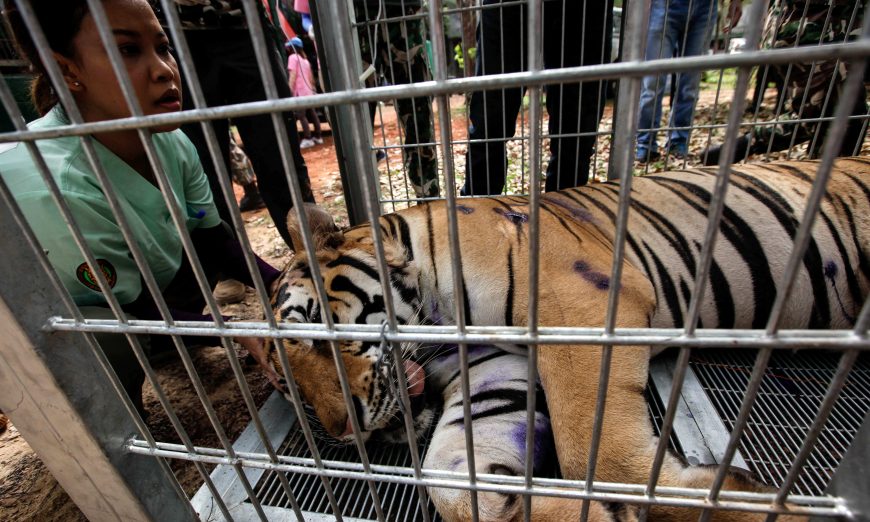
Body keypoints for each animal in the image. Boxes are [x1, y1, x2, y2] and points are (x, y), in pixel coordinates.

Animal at [270, 158, 868, 520]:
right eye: (286, 389)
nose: (345, 431)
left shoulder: (580, 301)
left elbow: (595, 451)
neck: (438, 322)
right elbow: (450, 470)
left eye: (316, 331)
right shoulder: (496, 369)